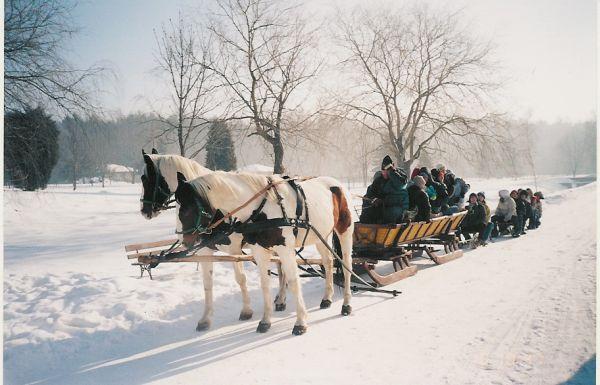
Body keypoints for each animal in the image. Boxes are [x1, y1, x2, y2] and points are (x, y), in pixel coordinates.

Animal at [173, 170, 354, 332]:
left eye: (186, 210)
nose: (185, 242)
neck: (261, 209)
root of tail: (337, 184)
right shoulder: (257, 251)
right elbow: (263, 284)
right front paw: (265, 321)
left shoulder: (276, 249)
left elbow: (292, 282)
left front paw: (300, 322)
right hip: (321, 236)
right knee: (328, 262)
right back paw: (326, 298)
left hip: (344, 232)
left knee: (346, 266)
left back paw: (346, 304)